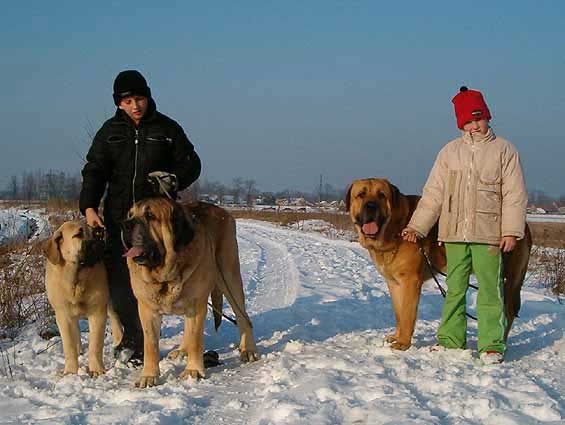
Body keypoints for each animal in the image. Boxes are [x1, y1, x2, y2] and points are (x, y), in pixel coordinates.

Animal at [122, 199, 258, 388]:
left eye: (150, 215)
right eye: (130, 214)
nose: (125, 225)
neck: (166, 275)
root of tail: (222, 211)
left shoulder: (197, 305)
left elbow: (196, 340)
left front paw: (193, 371)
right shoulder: (147, 310)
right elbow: (150, 345)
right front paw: (148, 376)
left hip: (228, 276)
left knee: (243, 316)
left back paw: (248, 350)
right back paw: (181, 350)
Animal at [346, 177, 532, 350]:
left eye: (381, 195)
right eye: (361, 195)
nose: (371, 206)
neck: (395, 229)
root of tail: (525, 226)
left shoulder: (410, 282)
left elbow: (407, 314)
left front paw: (403, 343)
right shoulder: (394, 283)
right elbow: (399, 312)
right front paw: (396, 337)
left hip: (509, 279)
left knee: (507, 311)